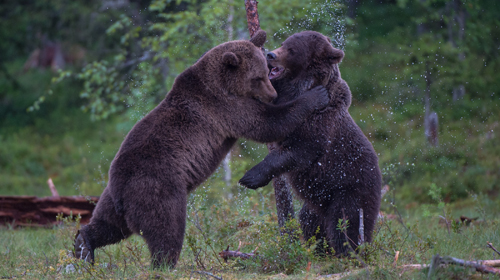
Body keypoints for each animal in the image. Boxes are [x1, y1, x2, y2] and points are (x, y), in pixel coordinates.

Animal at [74, 29, 330, 268]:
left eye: (266, 72)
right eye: (257, 77)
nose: (272, 94)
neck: (221, 83)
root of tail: (120, 185)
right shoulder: (225, 108)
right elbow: (267, 123)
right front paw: (316, 95)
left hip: (112, 198)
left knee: (108, 226)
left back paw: (83, 245)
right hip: (155, 188)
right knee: (166, 229)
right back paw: (165, 265)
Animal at [240, 31, 380, 256]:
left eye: (292, 50)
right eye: (283, 43)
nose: (270, 55)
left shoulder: (319, 124)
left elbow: (299, 150)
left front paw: (251, 177)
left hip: (350, 189)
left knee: (344, 223)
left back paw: (348, 253)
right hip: (319, 201)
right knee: (310, 220)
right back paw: (320, 249)